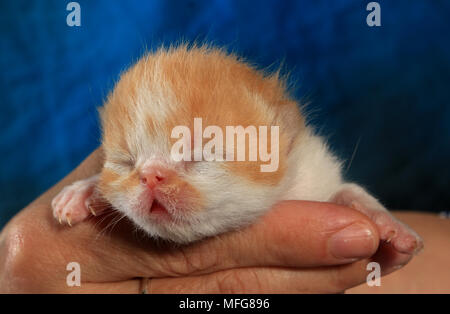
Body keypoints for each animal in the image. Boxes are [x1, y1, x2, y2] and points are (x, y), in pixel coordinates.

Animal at [51, 45, 424, 254]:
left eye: (201, 156)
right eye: (126, 162)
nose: (150, 176)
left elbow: (348, 190)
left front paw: (391, 224)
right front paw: (82, 191)